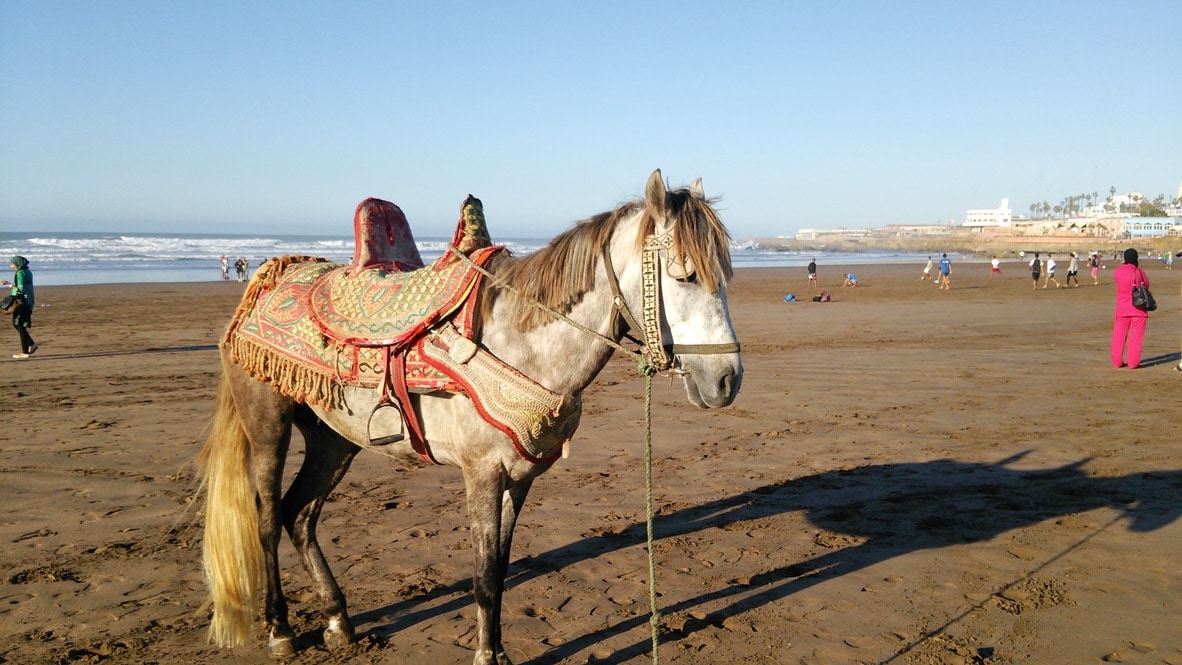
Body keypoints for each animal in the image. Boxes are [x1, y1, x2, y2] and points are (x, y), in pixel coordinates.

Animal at [199, 170, 743, 664]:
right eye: (684, 274)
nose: (727, 380)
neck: (521, 344)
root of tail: (269, 276)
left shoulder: (520, 477)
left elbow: (499, 571)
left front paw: (498, 650)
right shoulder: (482, 472)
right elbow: (482, 577)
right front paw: (486, 656)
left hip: (334, 439)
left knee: (301, 515)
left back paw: (338, 623)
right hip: (267, 428)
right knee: (269, 520)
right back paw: (281, 631)